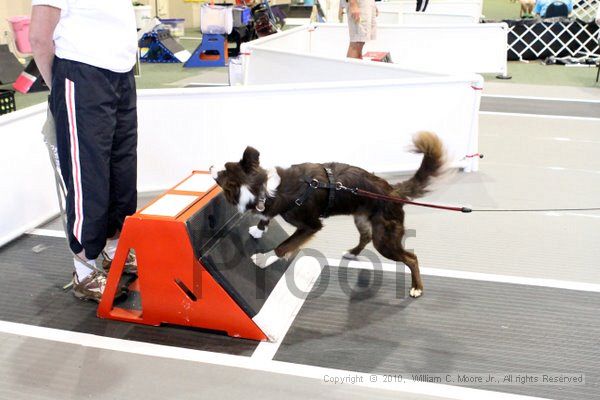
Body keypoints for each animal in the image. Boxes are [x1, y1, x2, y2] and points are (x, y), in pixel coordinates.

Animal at [209, 131, 442, 296]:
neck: (265, 186)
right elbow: (266, 216)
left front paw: (264, 258)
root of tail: (393, 191)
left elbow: (283, 246)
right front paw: (258, 230)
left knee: (411, 258)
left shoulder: (310, 226)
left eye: (221, 171)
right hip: (362, 219)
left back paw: (417, 287)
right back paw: (353, 253)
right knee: (365, 236)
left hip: (384, 239)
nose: (210, 165)